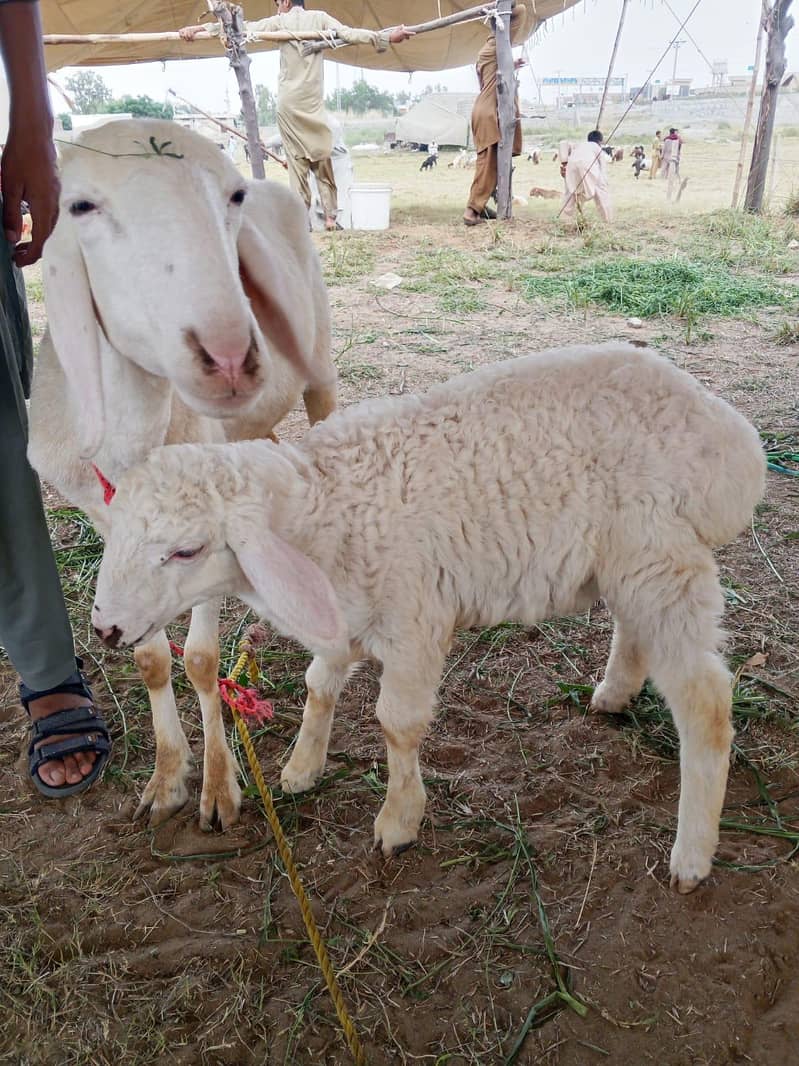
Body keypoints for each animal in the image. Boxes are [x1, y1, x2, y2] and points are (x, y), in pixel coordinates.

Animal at [28, 118, 336, 830]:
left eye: (233, 196)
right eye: (80, 206)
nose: (229, 356)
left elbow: (197, 660)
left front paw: (219, 787)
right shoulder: (105, 516)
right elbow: (148, 656)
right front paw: (169, 775)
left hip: (321, 368)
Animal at [90, 342, 766, 893]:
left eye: (186, 551)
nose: (105, 629)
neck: (328, 508)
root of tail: (731, 437)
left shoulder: (413, 621)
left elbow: (397, 724)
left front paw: (398, 818)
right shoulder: (343, 613)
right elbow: (320, 683)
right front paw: (304, 766)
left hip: (660, 557)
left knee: (706, 702)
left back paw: (692, 855)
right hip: (635, 559)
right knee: (636, 631)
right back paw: (613, 693)